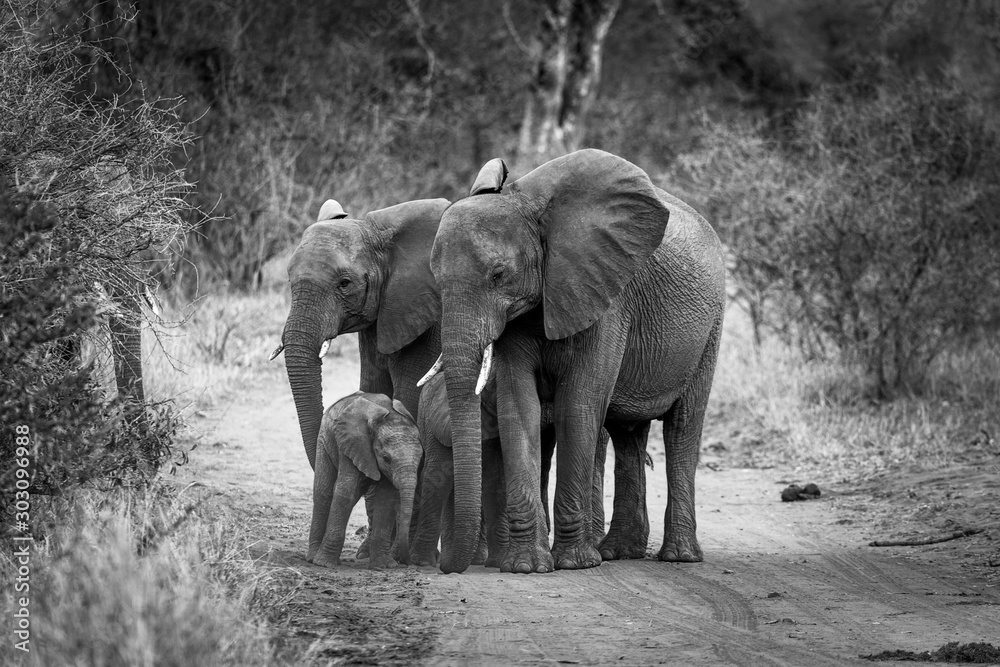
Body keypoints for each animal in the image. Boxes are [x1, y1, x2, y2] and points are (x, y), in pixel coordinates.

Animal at [308, 391, 421, 569]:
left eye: (421, 457)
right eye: (386, 458)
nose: (407, 563)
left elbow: (386, 499)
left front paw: (384, 566)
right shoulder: (352, 444)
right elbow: (345, 492)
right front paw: (325, 564)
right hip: (325, 440)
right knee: (323, 494)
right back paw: (313, 558)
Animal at [425, 148, 726, 574]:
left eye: (499, 275)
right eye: (435, 278)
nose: (447, 566)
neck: (526, 206)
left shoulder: (606, 296)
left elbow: (579, 405)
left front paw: (574, 563)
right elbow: (520, 406)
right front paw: (526, 566)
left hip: (709, 329)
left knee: (683, 427)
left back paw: (678, 556)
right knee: (627, 433)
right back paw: (618, 551)